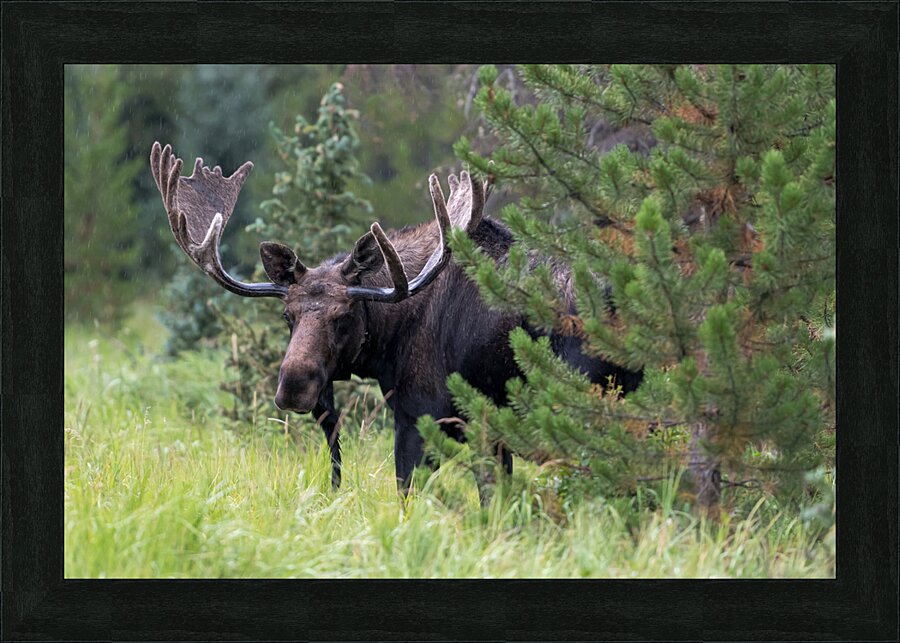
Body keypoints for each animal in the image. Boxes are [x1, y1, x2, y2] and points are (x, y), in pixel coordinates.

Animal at [150, 141, 642, 495]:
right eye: (287, 315)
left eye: (344, 315)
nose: (293, 386)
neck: (392, 335)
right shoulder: (490, 436)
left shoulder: (420, 416)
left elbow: (410, 494)